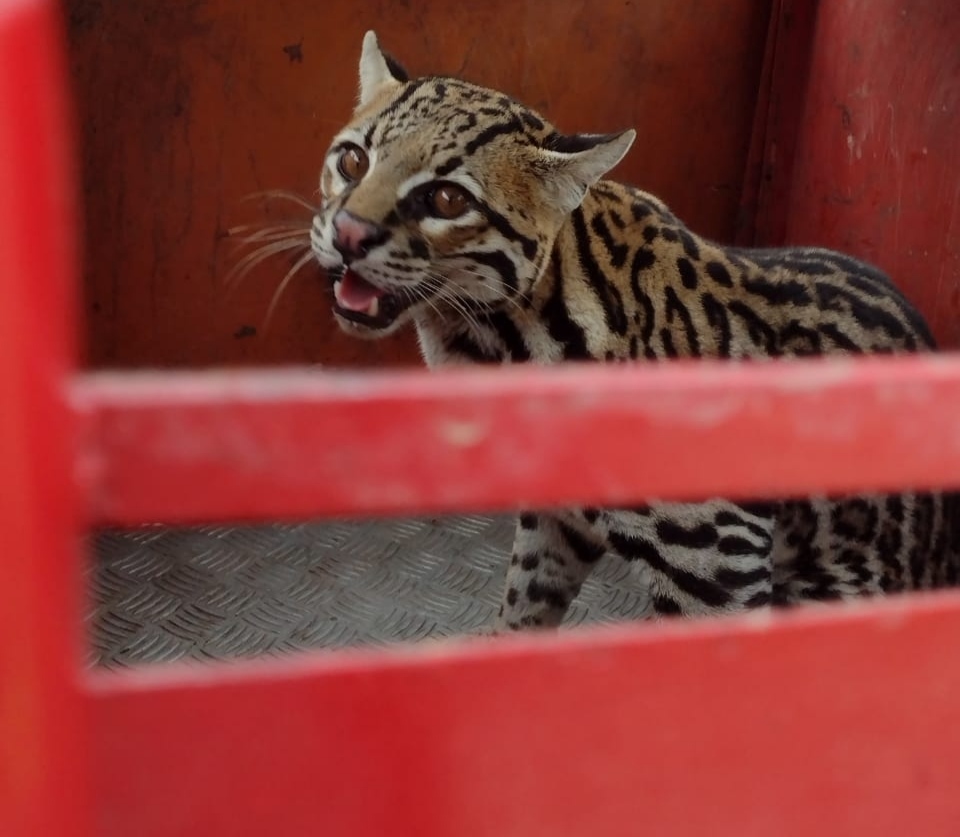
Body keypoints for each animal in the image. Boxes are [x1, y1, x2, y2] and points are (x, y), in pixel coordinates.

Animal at [310, 31, 960, 632]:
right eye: (352, 161)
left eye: (446, 198)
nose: (346, 233)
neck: (506, 335)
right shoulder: (557, 521)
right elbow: (522, 613)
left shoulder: (721, 567)